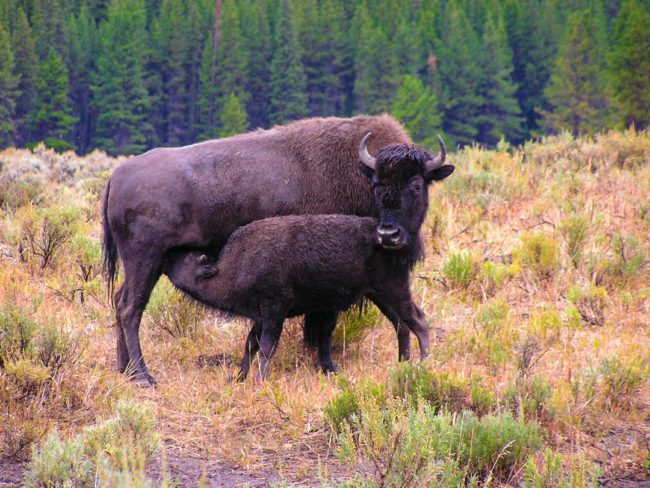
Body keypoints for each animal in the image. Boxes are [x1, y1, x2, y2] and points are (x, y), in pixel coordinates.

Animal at [165, 215, 430, 380]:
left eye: (189, 258)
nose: (169, 253)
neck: (239, 263)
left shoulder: (275, 310)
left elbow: (267, 347)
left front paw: (260, 379)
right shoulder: (260, 316)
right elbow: (251, 343)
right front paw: (238, 377)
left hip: (393, 289)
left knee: (417, 320)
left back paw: (424, 363)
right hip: (379, 295)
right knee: (401, 325)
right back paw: (402, 364)